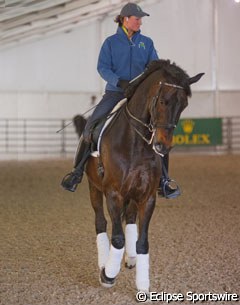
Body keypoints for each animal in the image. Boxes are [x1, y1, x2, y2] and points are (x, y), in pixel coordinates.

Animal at [84, 58, 202, 292]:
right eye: (163, 101)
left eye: (183, 105)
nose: (162, 146)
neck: (135, 144)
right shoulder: (113, 194)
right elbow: (117, 238)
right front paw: (108, 275)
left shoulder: (147, 197)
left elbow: (143, 242)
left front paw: (143, 285)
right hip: (94, 187)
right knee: (100, 223)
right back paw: (103, 263)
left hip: (132, 194)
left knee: (129, 219)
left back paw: (130, 258)